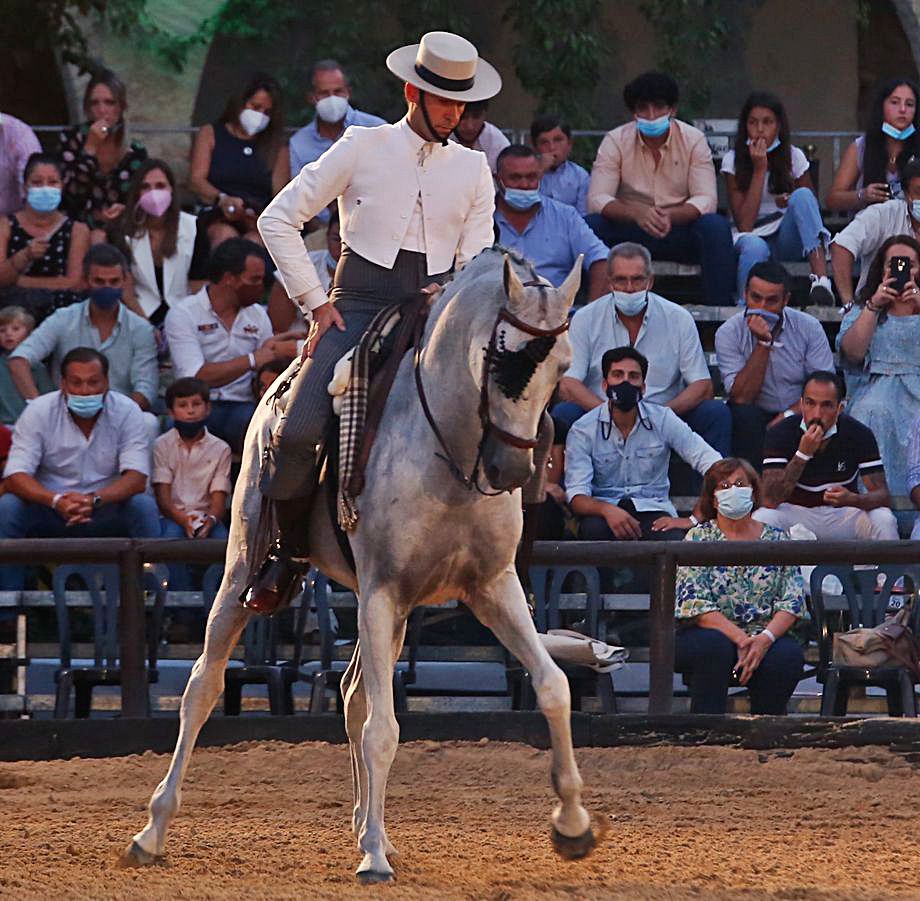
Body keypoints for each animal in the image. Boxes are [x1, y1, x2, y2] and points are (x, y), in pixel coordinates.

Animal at [124, 250, 596, 884]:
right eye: (499, 360)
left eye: (562, 365)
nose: (512, 470)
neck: (446, 449)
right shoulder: (379, 592)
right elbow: (383, 730)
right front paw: (371, 855)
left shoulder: (492, 588)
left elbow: (553, 687)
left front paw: (572, 825)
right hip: (243, 569)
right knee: (203, 686)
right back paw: (152, 831)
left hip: (394, 613)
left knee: (350, 694)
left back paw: (370, 828)